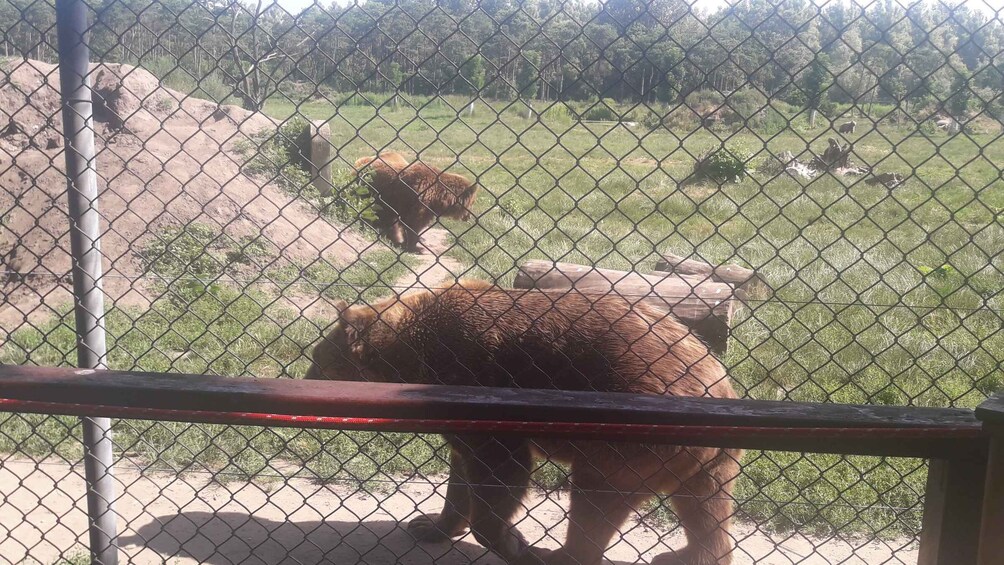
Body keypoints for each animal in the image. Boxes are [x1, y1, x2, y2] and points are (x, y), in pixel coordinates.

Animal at [301, 280, 742, 561]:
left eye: (316, 361)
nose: (302, 378)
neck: (410, 359)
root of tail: (718, 386)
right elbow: (461, 472)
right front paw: (430, 524)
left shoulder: (471, 376)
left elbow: (502, 468)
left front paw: (509, 539)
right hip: (709, 457)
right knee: (707, 507)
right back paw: (686, 554)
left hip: (633, 433)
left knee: (596, 496)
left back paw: (555, 554)